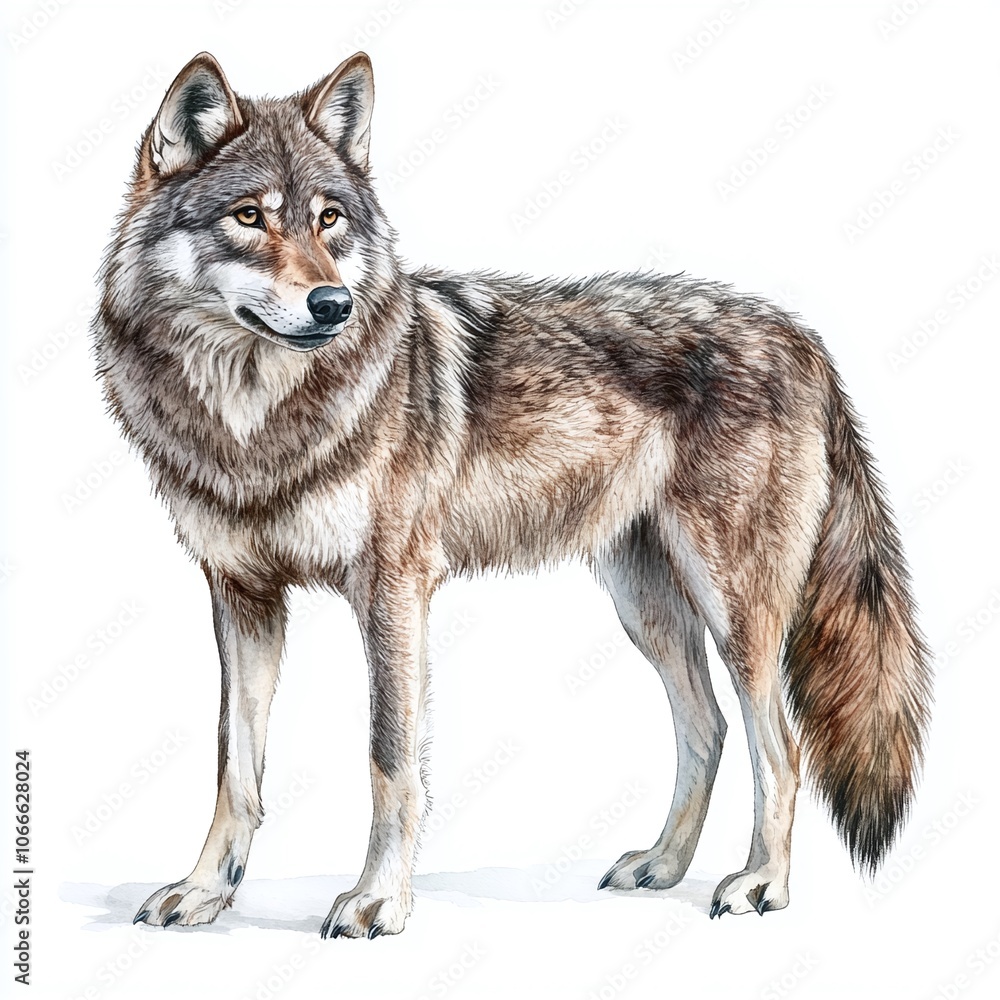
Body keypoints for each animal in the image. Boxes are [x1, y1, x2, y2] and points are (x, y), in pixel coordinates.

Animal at [93, 51, 931, 938]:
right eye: (250, 216)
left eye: (328, 220)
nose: (333, 305)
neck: (254, 420)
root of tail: (803, 337)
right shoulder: (241, 594)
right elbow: (235, 765)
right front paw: (206, 891)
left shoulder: (393, 591)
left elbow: (390, 761)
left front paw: (378, 900)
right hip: (646, 606)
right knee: (707, 729)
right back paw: (663, 866)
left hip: (734, 607)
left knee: (782, 745)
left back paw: (762, 882)